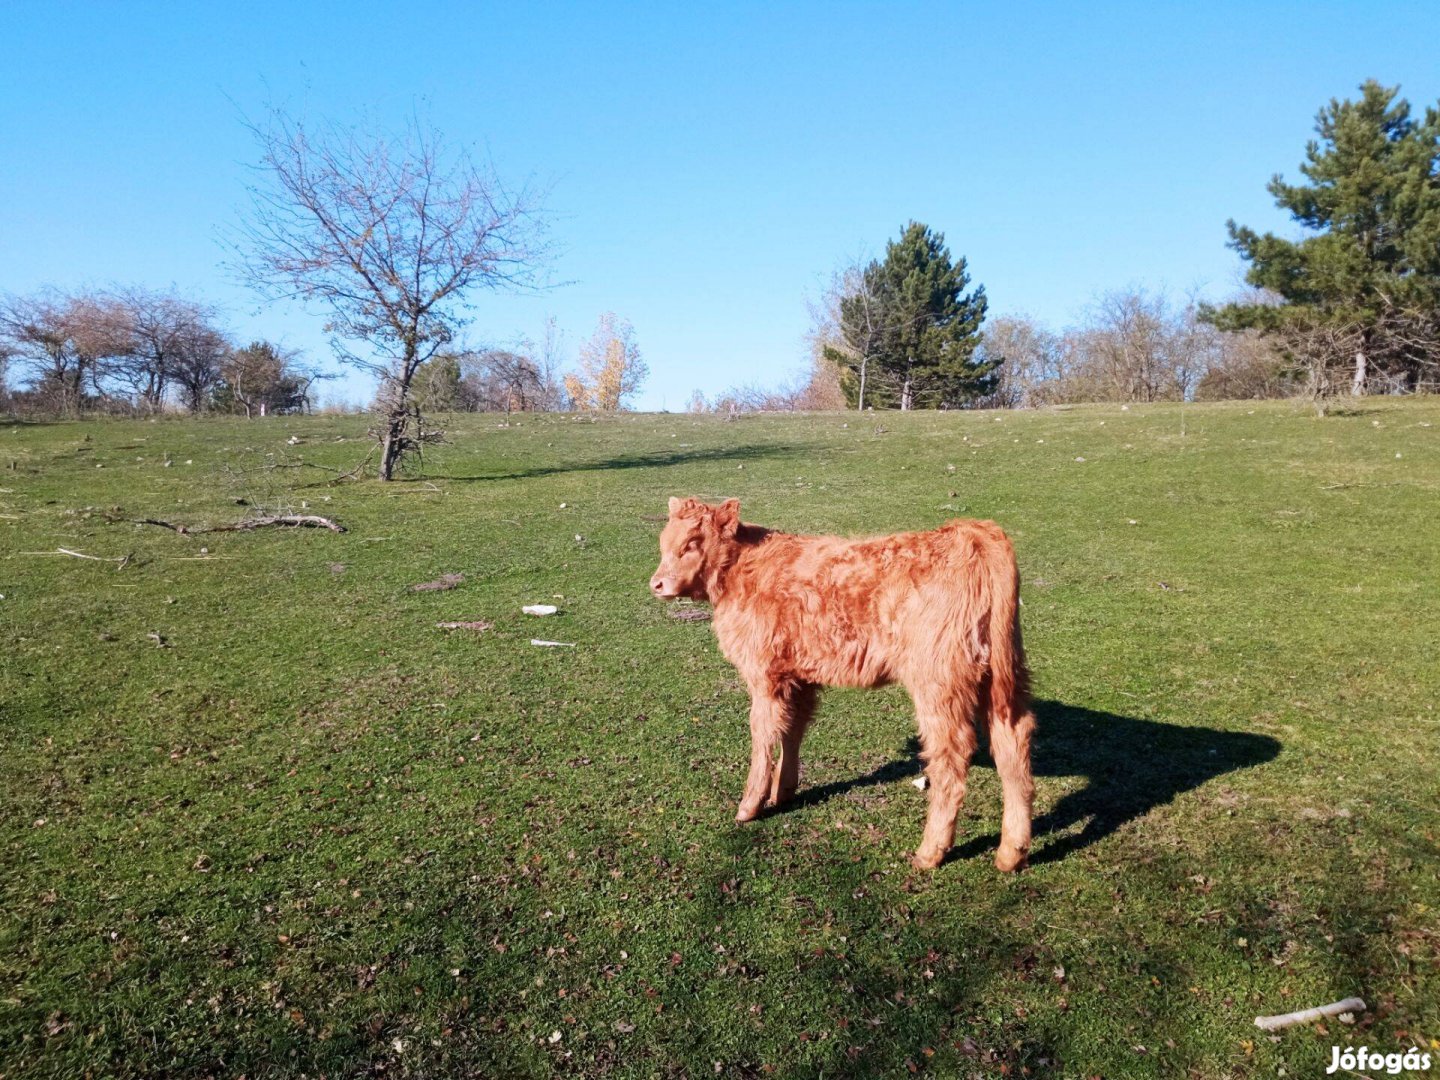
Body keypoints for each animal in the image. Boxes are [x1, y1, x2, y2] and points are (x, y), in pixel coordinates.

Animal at [653, 498, 1036, 869]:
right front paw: (783, 792)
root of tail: (971, 532)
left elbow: (762, 735)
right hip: (1003, 679)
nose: (656, 583)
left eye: (691, 543)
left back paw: (930, 853)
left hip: (938, 684)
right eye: (663, 542)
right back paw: (1011, 853)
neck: (742, 570)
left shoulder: (764, 676)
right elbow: (792, 730)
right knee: (1012, 746)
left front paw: (750, 806)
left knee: (951, 760)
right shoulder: (799, 676)